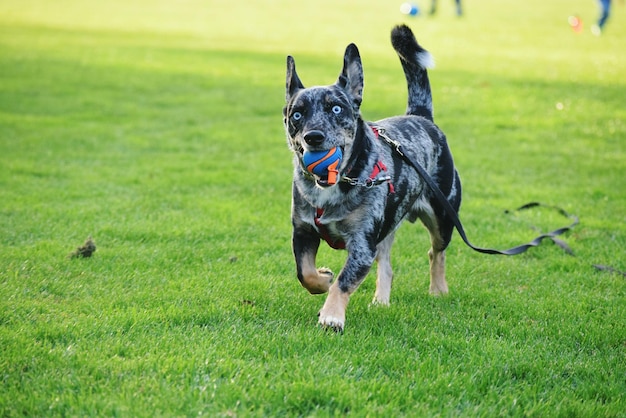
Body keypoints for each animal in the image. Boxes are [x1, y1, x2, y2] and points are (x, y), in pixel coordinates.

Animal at [282, 25, 458, 334]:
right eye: (297, 114)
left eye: (336, 109)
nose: (313, 137)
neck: (333, 187)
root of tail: (420, 116)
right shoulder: (303, 231)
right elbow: (305, 273)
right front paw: (323, 278)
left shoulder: (362, 245)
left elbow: (344, 282)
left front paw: (332, 316)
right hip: (387, 227)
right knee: (387, 265)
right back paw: (381, 301)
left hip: (443, 216)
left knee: (436, 253)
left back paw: (438, 289)